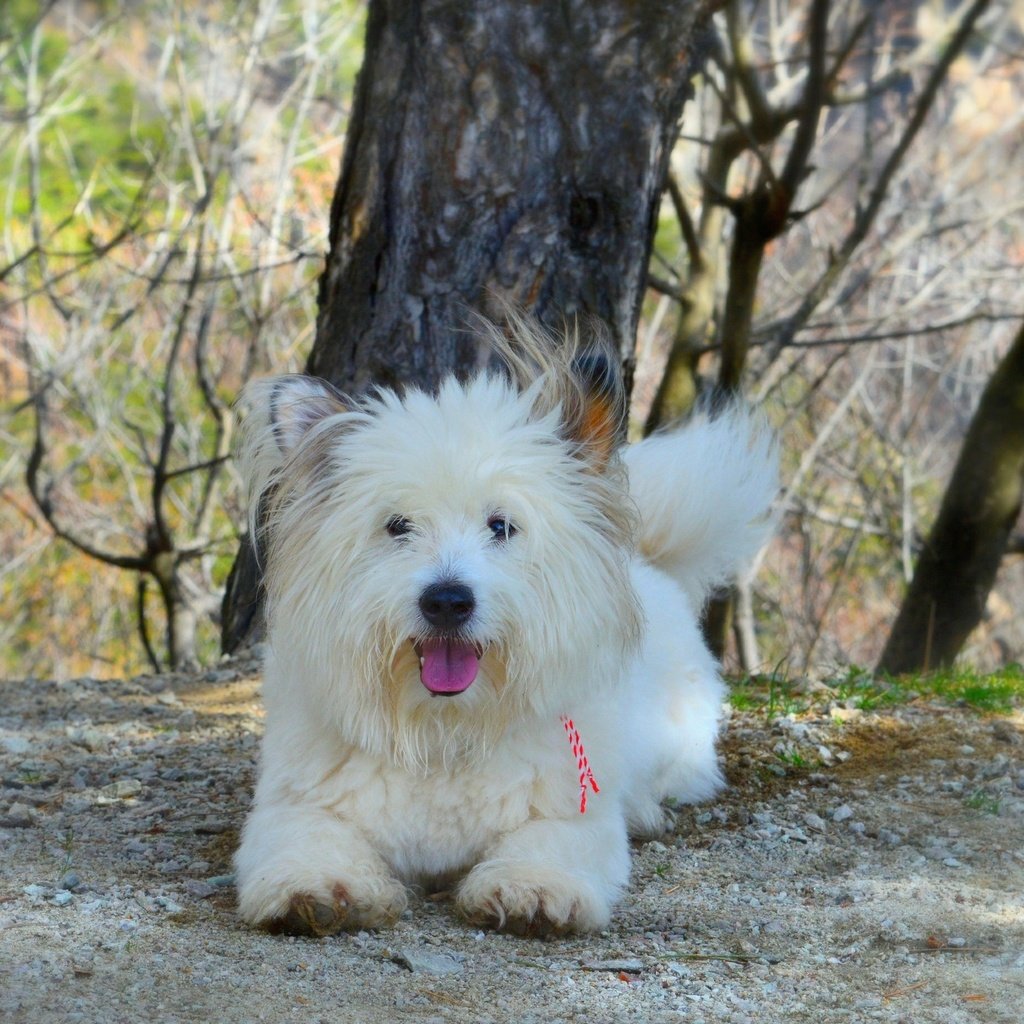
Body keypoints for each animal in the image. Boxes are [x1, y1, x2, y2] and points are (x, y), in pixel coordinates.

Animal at [234, 319, 774, 937]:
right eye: (397, 526)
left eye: (501, 526)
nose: (447, 600)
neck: (444, 729)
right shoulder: (298, 806)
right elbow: (309, 841)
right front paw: (319, 888)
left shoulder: (570, 815)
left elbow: (548, 844)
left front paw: (530, 890)